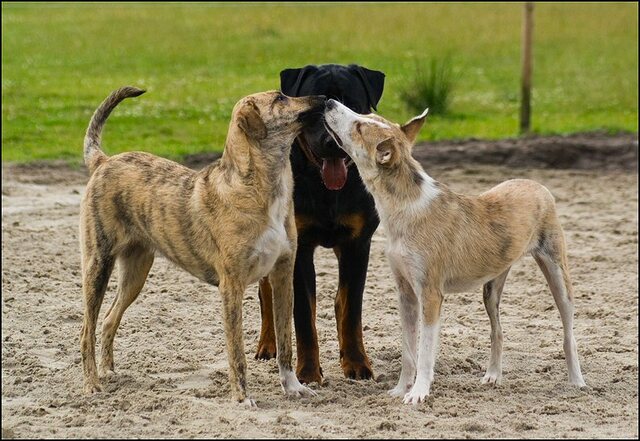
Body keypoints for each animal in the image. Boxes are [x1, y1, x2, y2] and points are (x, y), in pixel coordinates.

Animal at [255, 62, 384, 382]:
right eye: (313, 113)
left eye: (352, 106)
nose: (331, 142)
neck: (327, 191)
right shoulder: (299, 248)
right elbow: (304, 315)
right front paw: (308, 372)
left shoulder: (357, 244)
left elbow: (351, 309)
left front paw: (356, 362)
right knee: (267, 295)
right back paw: (268, 345)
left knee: (340, 301)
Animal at [322, 99, 588, 402]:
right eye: (364, 117)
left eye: (359, 126)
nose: (329, 102)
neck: (405, 206)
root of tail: (537, 185)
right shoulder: (406, 293)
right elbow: (408, 351)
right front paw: (401, 389)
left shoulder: (430, 295)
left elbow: (425, 352)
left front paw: (418, 393)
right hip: (491, 288)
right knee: (498, 331)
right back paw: (493, 376)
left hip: (557, 274)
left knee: (569, 333)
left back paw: (577, 382)